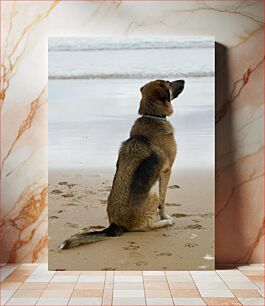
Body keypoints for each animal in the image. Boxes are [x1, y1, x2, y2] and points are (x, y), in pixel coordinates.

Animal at [58, 79, 185, 249]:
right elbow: (163, 201)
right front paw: (164, 216)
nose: (184, 81)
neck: (152, 116)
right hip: (153, 195)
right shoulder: (167, 171)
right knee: (145, 227)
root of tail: (114, 226)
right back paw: (164, 223)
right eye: (169, 82)